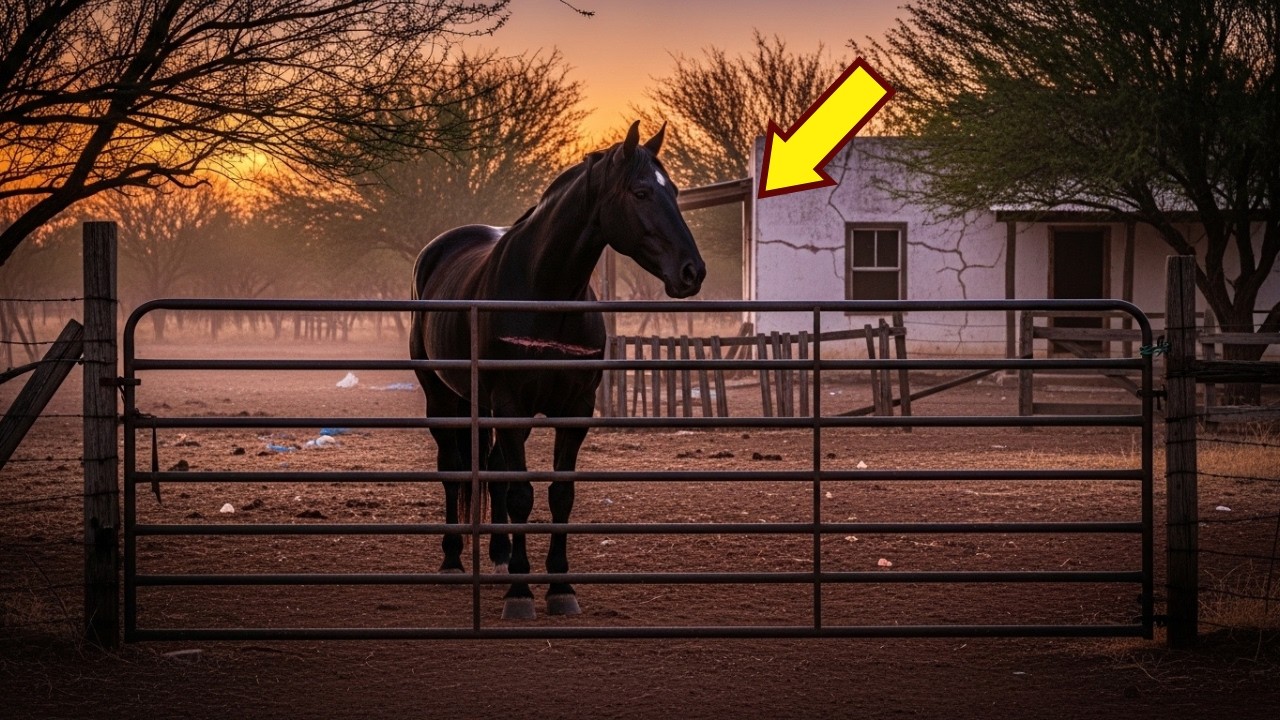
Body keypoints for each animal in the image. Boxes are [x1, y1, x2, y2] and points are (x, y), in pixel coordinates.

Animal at [409, 121, 705, 620]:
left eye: (676, 191)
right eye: (641, 191)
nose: (692, 271)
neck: (544, 292)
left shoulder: (575, 411)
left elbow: (558, 495)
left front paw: (560, 587)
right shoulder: (510, 408)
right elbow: (522, 495)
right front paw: (520, 594)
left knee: (491, 468)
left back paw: (500, 554)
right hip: (443, 399)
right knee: (453, 469)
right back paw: (453, 561)